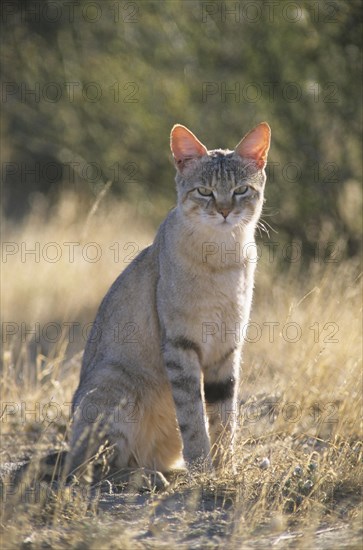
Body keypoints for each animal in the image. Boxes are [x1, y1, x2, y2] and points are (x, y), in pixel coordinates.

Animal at [65, 122, 272, 478]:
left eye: (241, 190)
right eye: (204, 191)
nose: (224, 211)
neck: (222, 257)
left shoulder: (227, 346)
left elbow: (224, 414)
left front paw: (225, 467)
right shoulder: (180, 344)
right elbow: (192, 417)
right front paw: (204, 469)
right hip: (113, 385)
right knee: (101, 466)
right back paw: (151, 478)